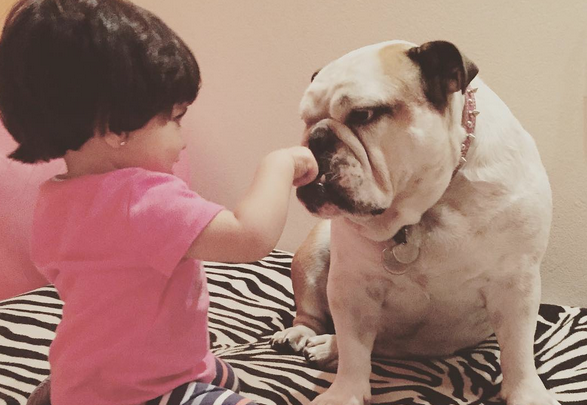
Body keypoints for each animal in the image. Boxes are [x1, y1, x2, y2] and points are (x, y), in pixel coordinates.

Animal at [271, 40, 557, 405]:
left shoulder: (516, 284)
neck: (426, 208)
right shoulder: (351, 287)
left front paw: (527, 393)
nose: (316, 137)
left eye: (364, 114)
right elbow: (354, 351)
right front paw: (344, 392)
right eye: (305, 121)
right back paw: (310, 338)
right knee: (321, 320)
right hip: (313, 253)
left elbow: (518, 350)